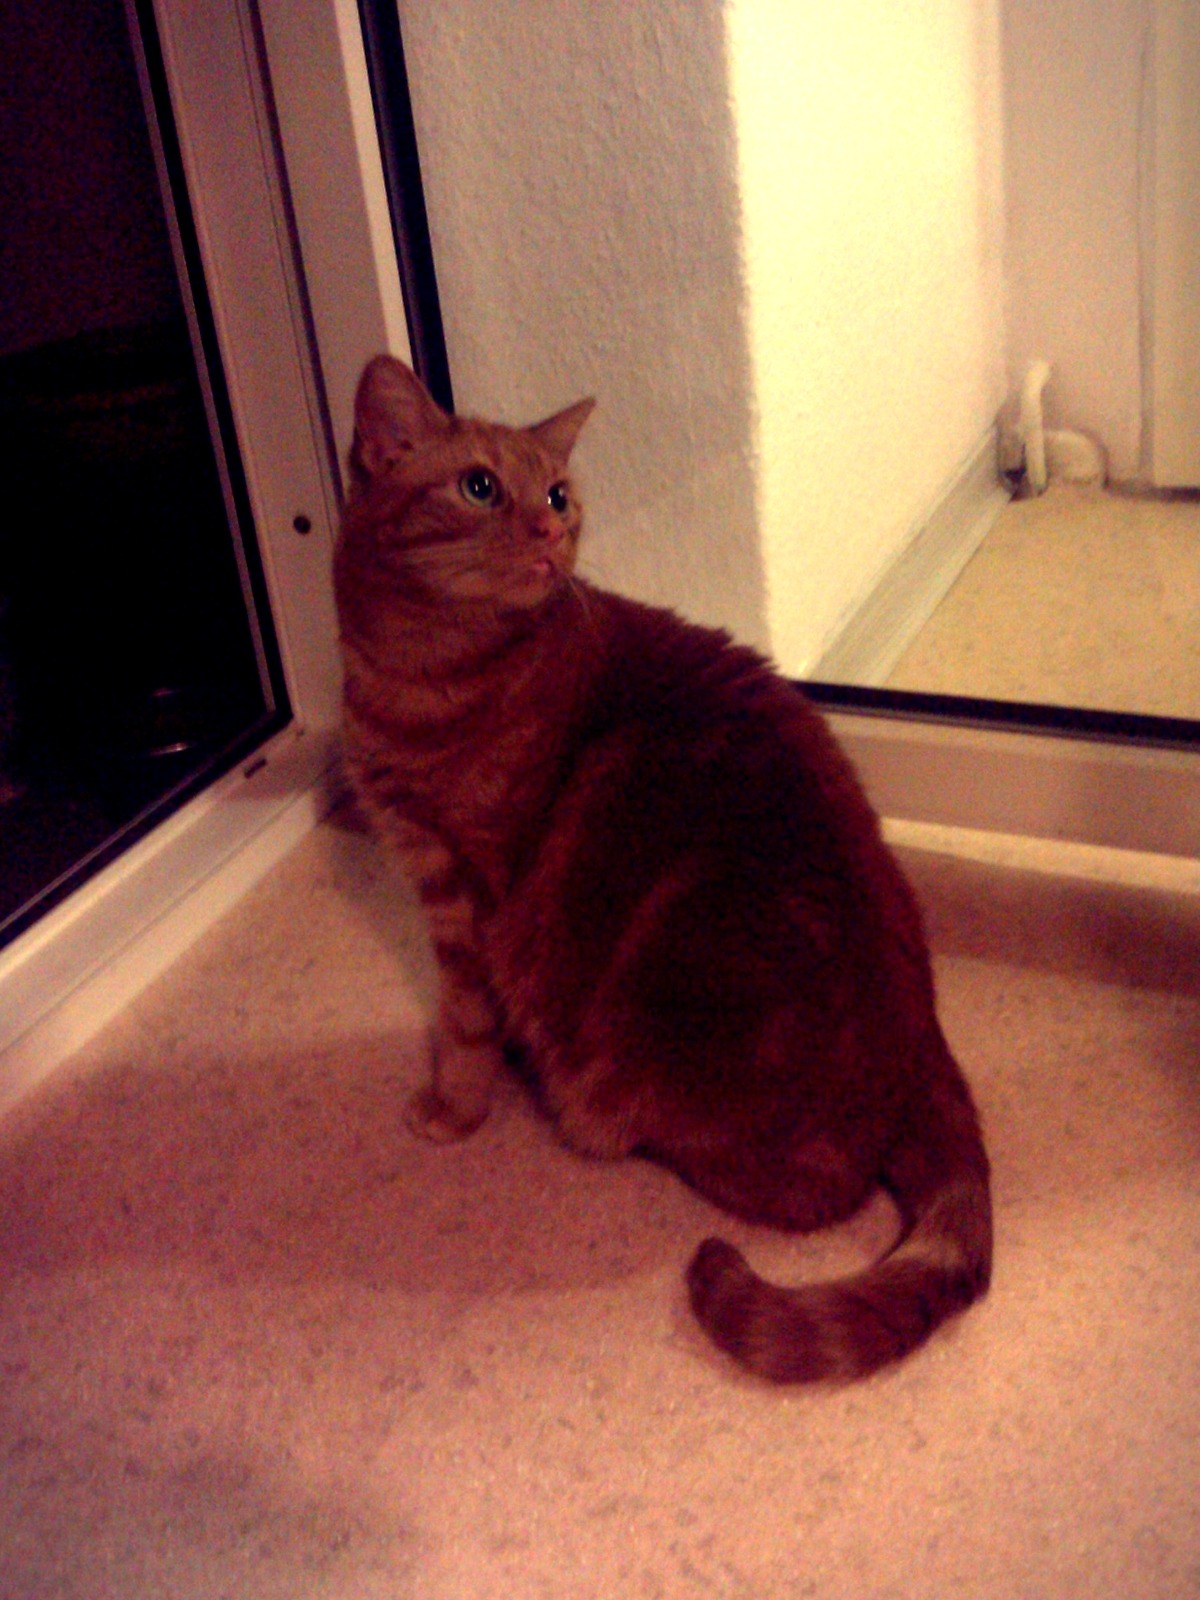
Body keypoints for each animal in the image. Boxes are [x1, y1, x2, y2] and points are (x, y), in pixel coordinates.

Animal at [334, 355, 992, 1383]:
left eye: (558, 494)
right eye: (480, 486)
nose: (550, 530)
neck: (412, 669)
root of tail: (924, 1031)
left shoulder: (462, 891)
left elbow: (467, 1022)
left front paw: (453, 1107)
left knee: (799, 1192)